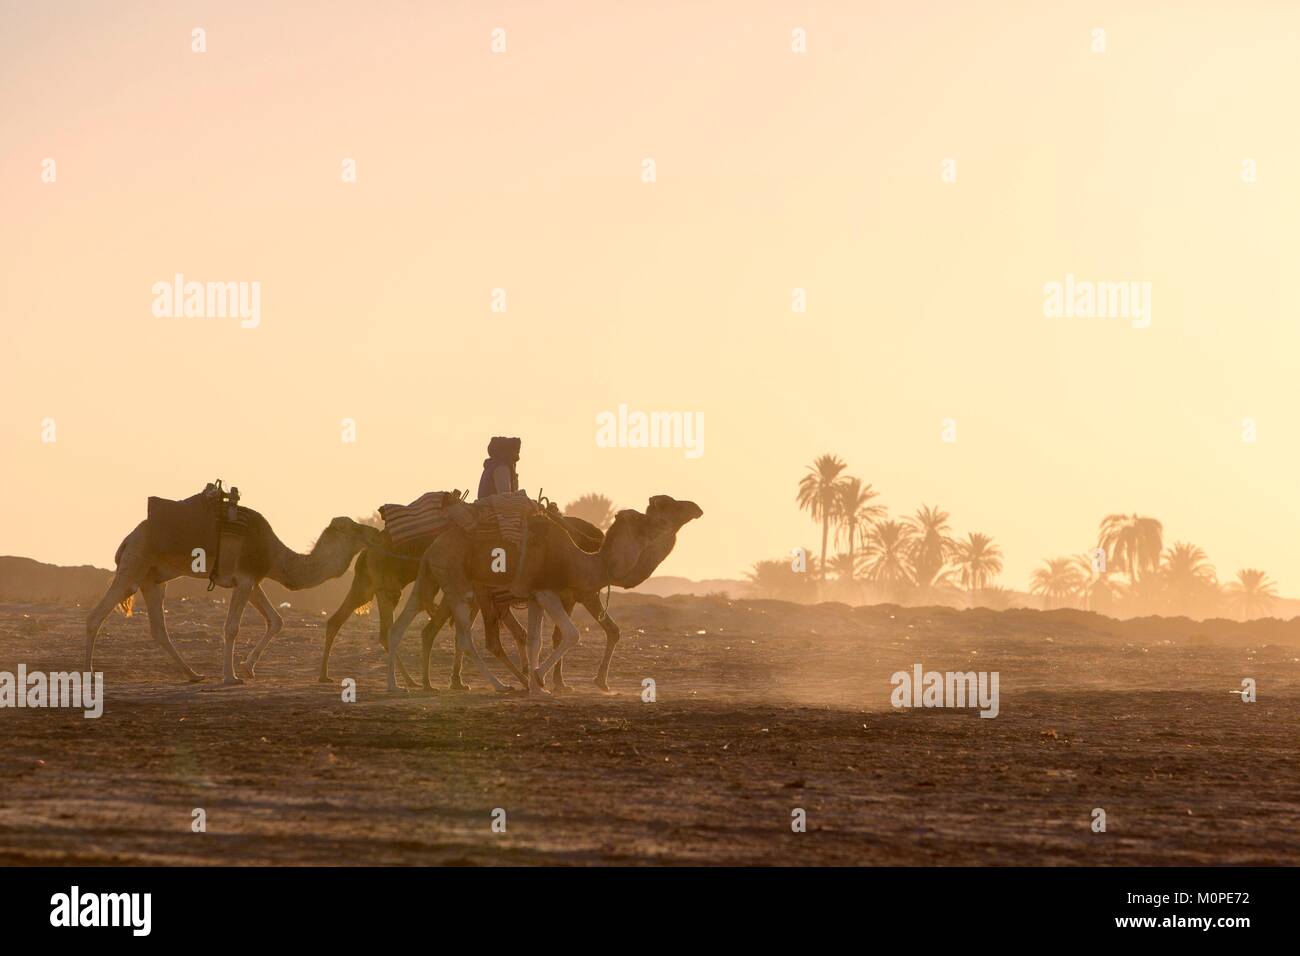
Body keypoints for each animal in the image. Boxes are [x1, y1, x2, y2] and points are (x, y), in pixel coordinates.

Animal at [85, 496, 379, 686]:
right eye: (354, 528)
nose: (374, 532)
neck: (275, 556)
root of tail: (127, 539)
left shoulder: (253, 582)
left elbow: (276, 620)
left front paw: (248, 669)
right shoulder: (245, 579)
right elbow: (231, 628)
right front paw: (231, 676)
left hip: (153, 580)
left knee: (159, 630)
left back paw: (194, 675)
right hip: (134, 565)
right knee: (95, 616)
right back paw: (88, 673)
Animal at [384, 494, 702, 697]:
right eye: (663, 509)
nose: (696, 508)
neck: (581, 561)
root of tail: (432, 546)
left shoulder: (535, 596)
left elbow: (534, 640)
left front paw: (539, 687)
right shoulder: (549, 592)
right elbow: (572, 634)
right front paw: (539, 679)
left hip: (429, 579)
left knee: (400, 626)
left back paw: (396, 685)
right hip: (458, 586)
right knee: (466, 638)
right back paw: (499, 685)